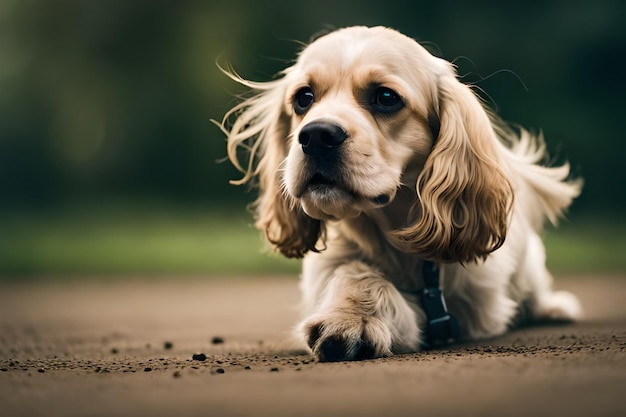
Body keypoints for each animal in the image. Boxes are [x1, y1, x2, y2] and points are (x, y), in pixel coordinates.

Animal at [218, 26, 580, 360]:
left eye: (386, 97)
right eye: (303, 98)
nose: (316, 135)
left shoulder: (480, 312)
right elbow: (359, 275)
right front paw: (351, 317)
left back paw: (555, 307)